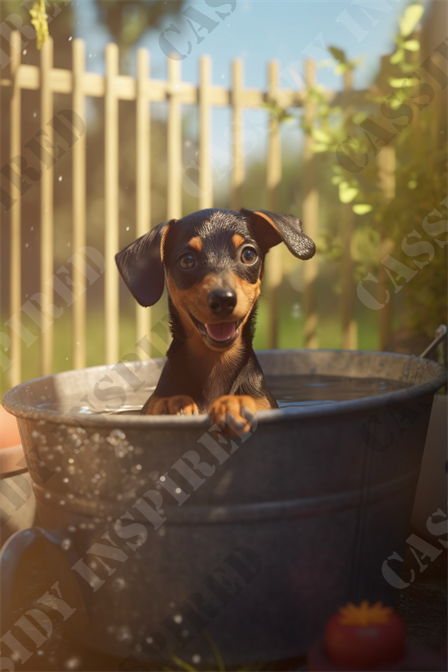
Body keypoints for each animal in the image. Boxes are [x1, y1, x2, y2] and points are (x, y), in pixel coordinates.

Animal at [117, 207, 316, 434]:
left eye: (249, 254)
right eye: (187, 260)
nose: (223, 299)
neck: (216, 362)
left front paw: (236, 403)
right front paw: (171, 404)